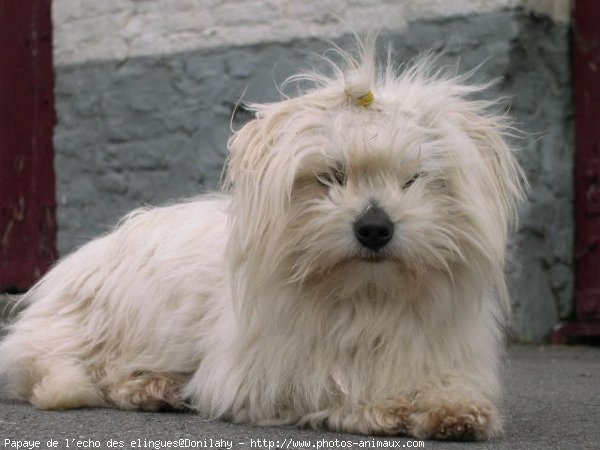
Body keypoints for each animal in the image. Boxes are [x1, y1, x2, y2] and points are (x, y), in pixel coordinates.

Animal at [0, 40, 524, 442]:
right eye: (331, 176)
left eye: (412, 178)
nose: (374, 228)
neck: (367, 297)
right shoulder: (270, 375)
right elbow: (334, 387)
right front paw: (385, 406)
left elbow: (447, 386)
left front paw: (452, 409)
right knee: (88, 371)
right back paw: (151, 387)